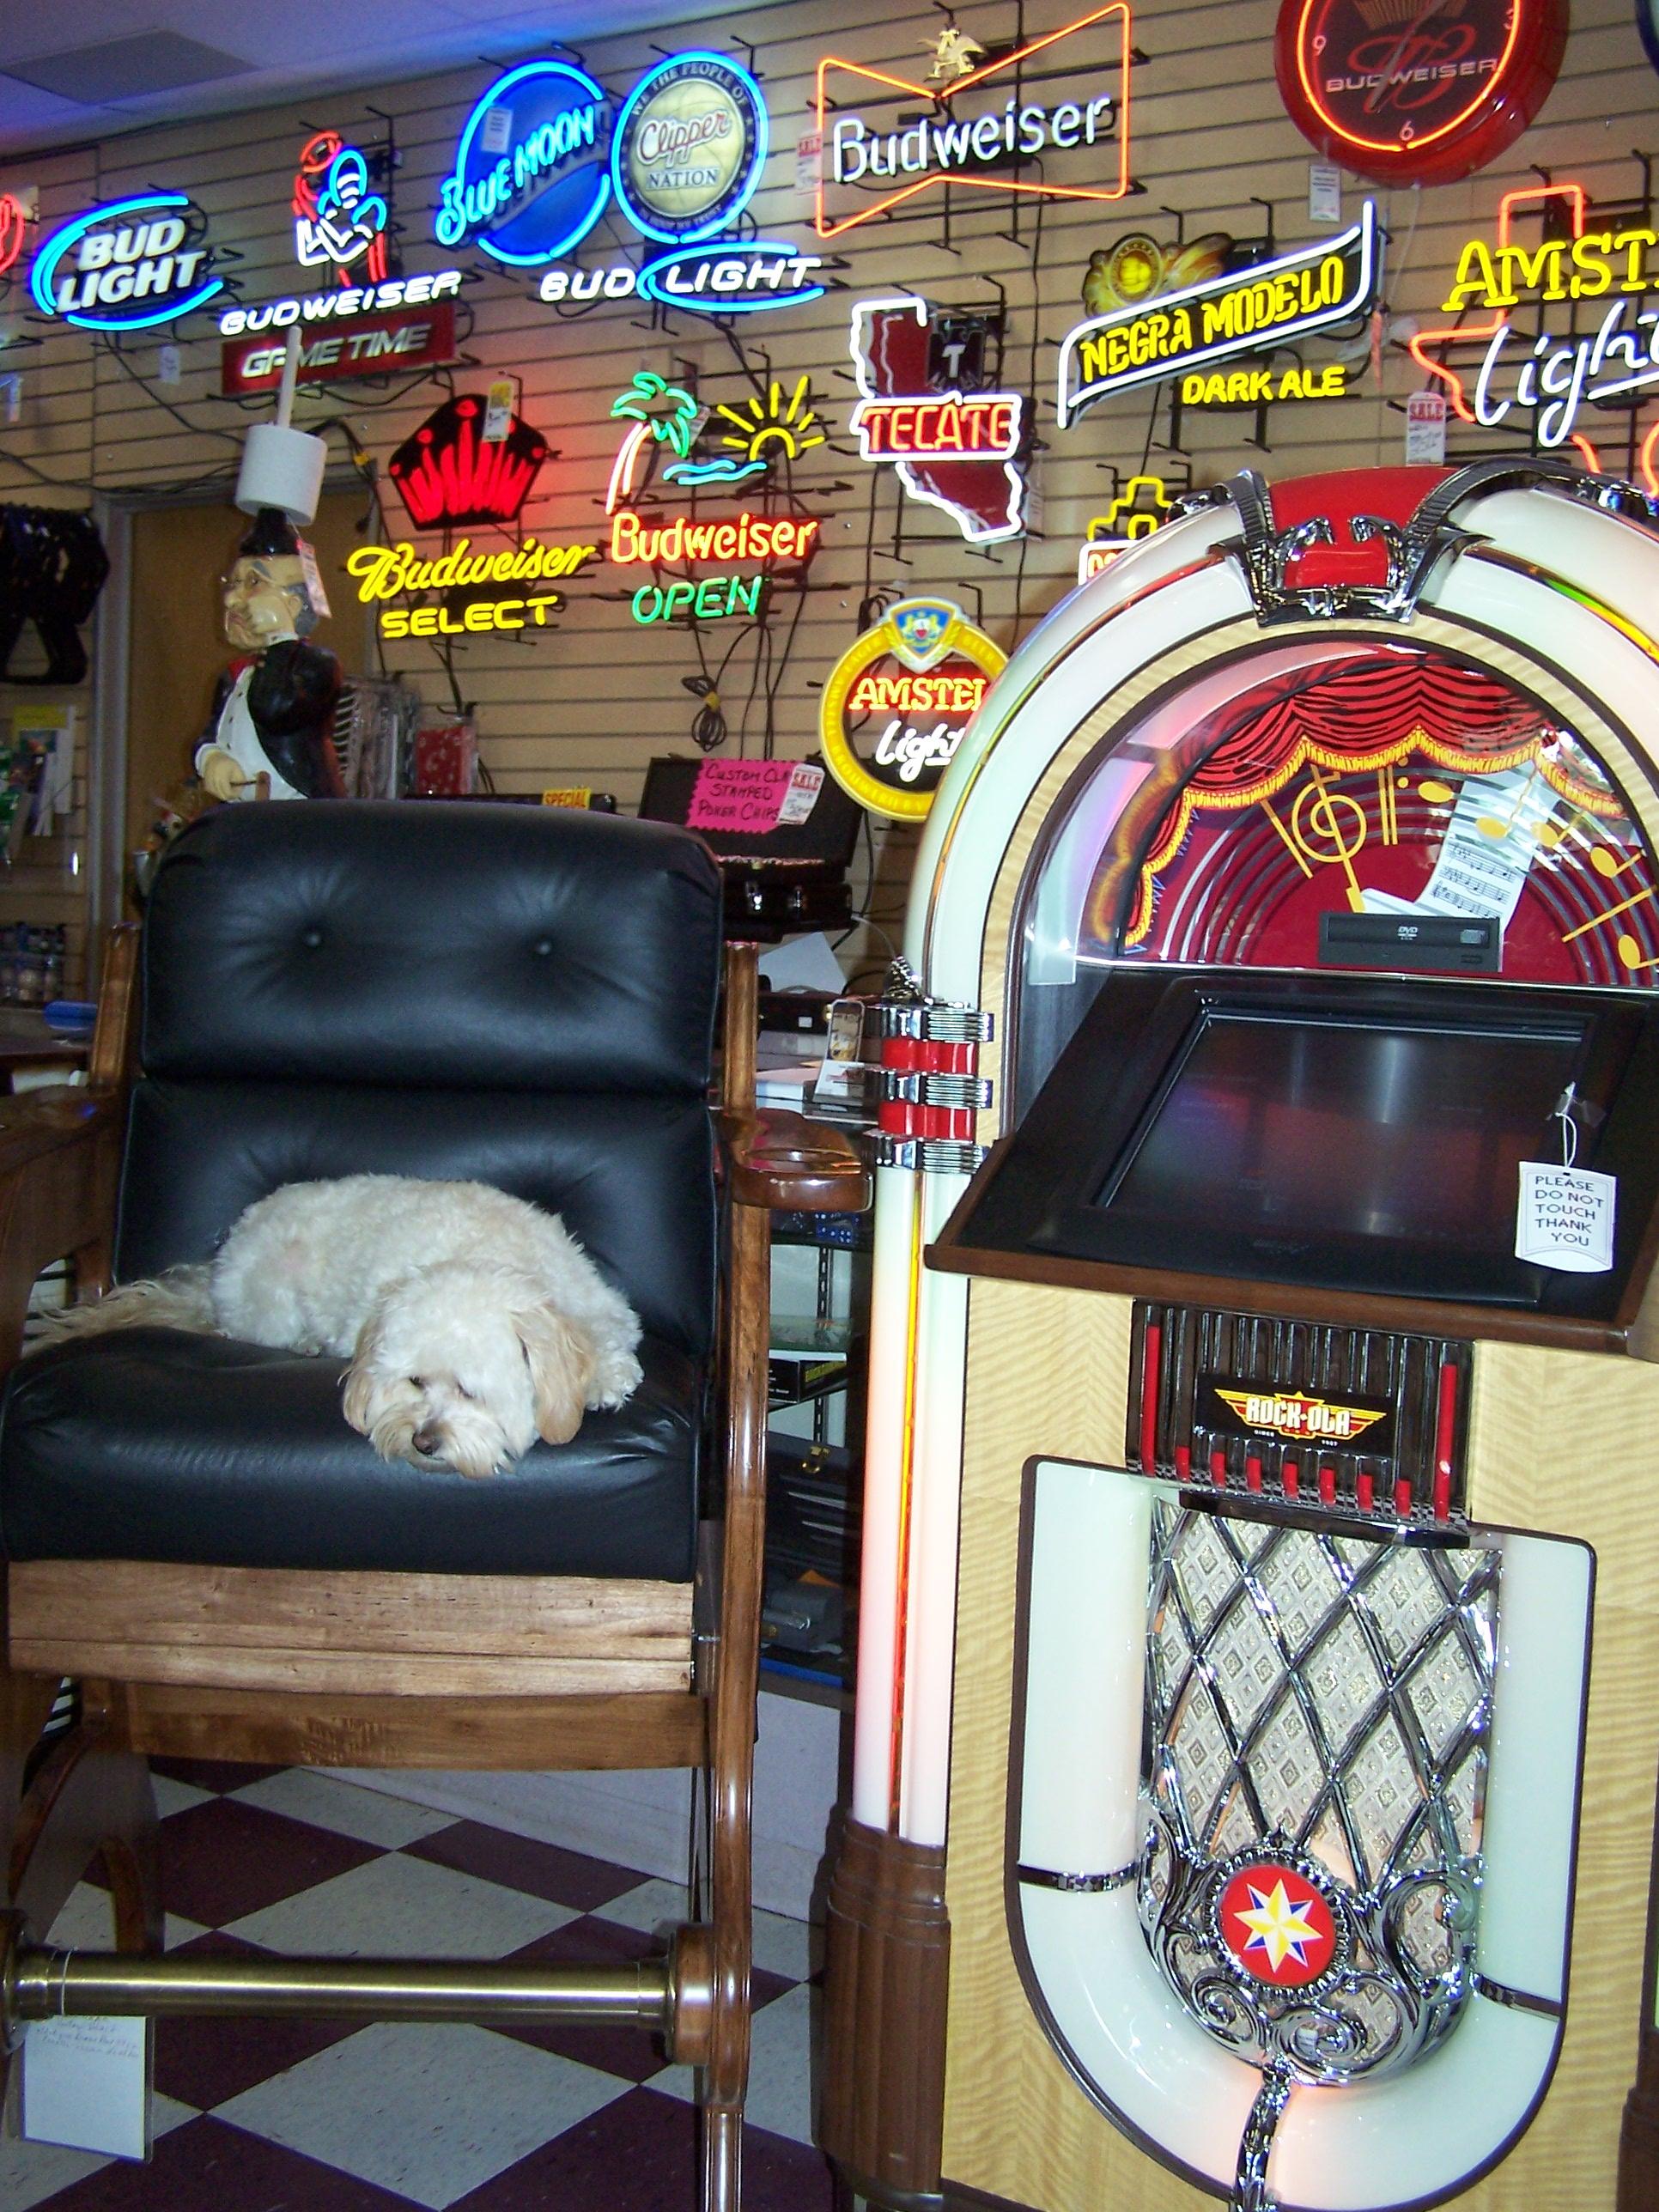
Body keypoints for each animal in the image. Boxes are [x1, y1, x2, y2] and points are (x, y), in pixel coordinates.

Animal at [45, 1185, 641, 1477]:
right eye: (415, 1382)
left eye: (470, 1391)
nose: (423, 1442)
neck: (487, 1256)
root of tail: (218, 1268)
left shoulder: (598, 1302)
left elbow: (611, 1336)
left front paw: (607, 1376)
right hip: (270, 1302)